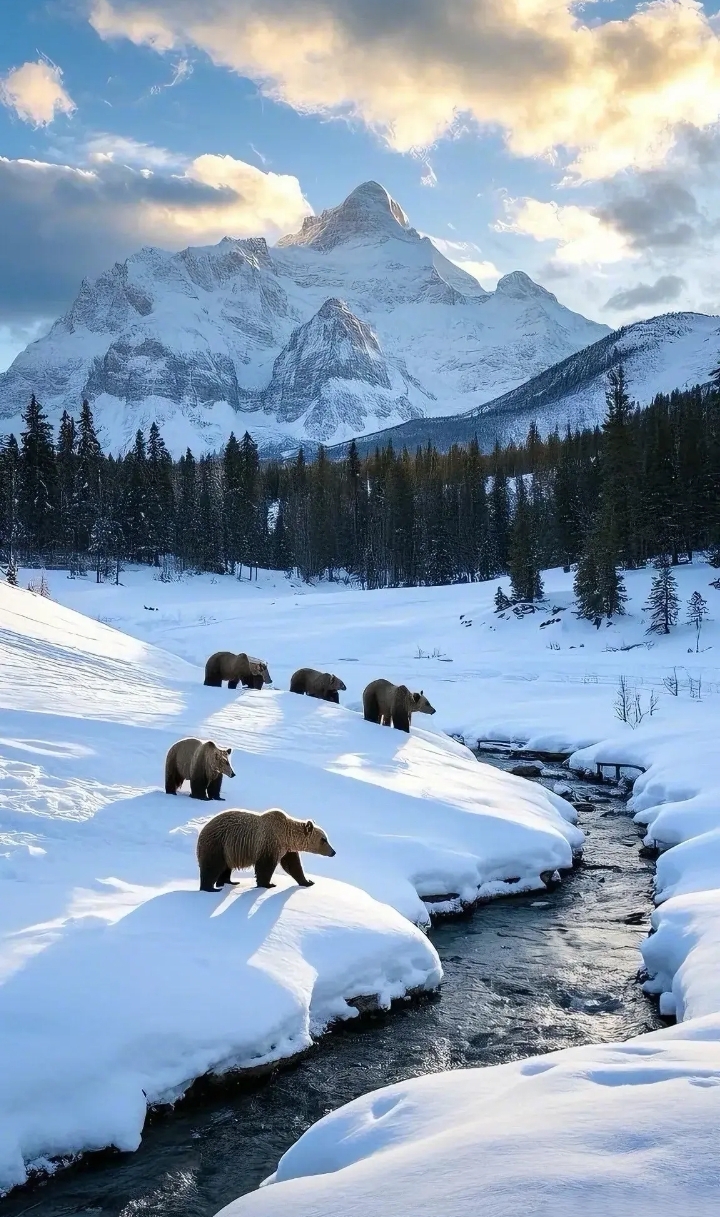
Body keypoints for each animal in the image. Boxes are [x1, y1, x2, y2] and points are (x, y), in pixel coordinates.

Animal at [196, 807, 336, 891]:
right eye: (324, 839)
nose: (333, 852)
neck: (286, 836)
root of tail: (203, 830)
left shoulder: (287, 849)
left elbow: (293, 866)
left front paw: (308, 881)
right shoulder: (269, 843)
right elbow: (265, 866)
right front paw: (268, 884)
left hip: (228, 851)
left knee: (225, 868)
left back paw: (229, 882)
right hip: (218, 843)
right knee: (212, 866)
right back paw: (210, 888)